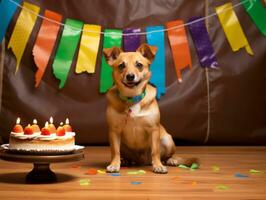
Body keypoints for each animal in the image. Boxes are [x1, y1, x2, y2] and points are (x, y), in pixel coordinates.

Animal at [103, 43, 195, 173]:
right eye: (121, 65)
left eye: (139, 65)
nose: (130, 76)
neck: (132, 99)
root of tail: (142, 161)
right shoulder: (114, 131)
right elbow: (115, 151)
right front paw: (115, 164)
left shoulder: (153, 130)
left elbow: (155, 151)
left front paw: (158, 166)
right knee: (124, 154)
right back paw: (124, 161)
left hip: (167, 139)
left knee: (165, 156)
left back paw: (170, 160)